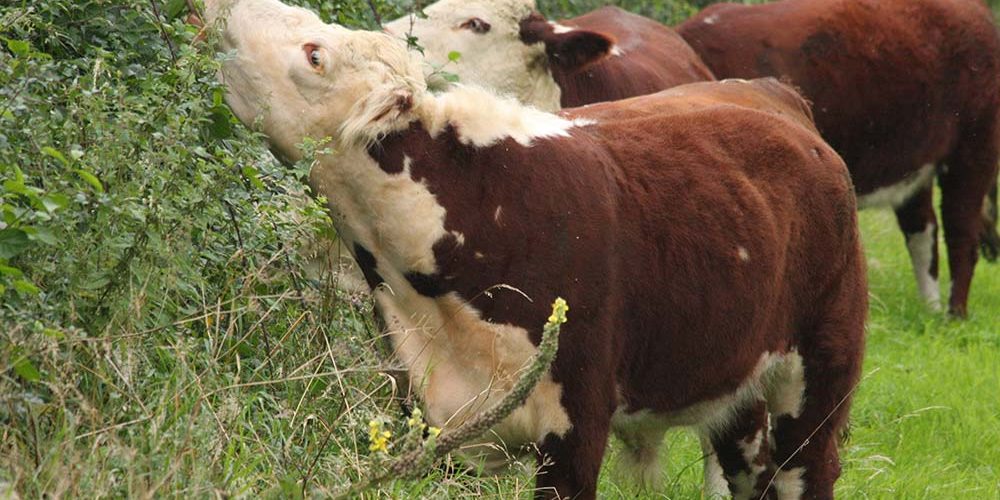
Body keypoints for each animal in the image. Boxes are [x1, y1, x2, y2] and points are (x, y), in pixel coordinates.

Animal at [678, 0, 1000, 317]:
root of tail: (977, 13)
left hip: (974, 149)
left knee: (961, 232)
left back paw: (953, 314)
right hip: (918, 161)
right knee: (923, 228)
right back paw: (929, 309)